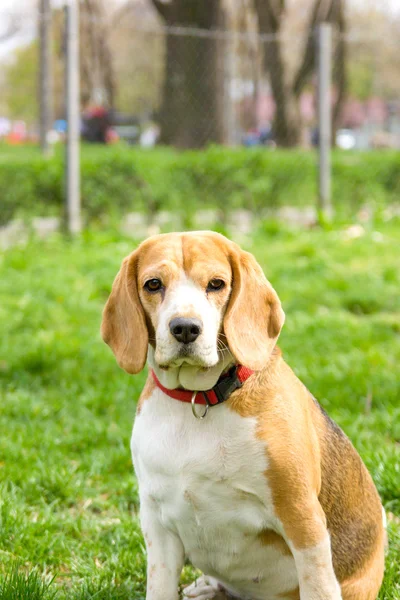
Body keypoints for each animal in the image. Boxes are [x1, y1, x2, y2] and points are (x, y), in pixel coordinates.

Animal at [101, 231, 386, 600]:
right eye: (153, 284)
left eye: (216, 283)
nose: (185, 328)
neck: (200, 400)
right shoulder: (157, 523)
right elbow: (160, 587)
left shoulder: (302, 517)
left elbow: (319, 585)